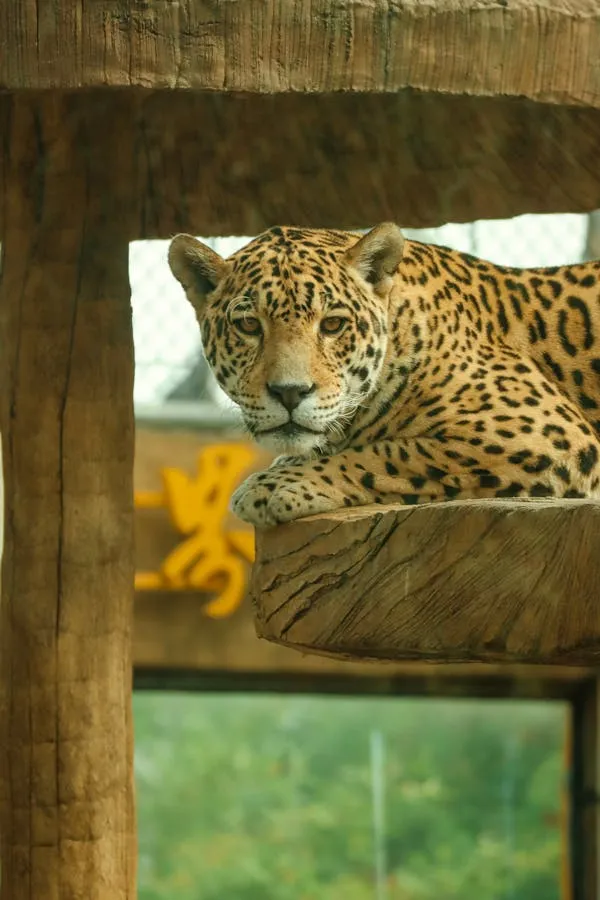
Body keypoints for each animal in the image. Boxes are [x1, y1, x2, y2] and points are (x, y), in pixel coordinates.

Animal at [168, 222, 600, 528]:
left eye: (333, 324)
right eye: (249, 326)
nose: (290, 393)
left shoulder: (545, 434)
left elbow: (392, 454)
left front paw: (273, 486)